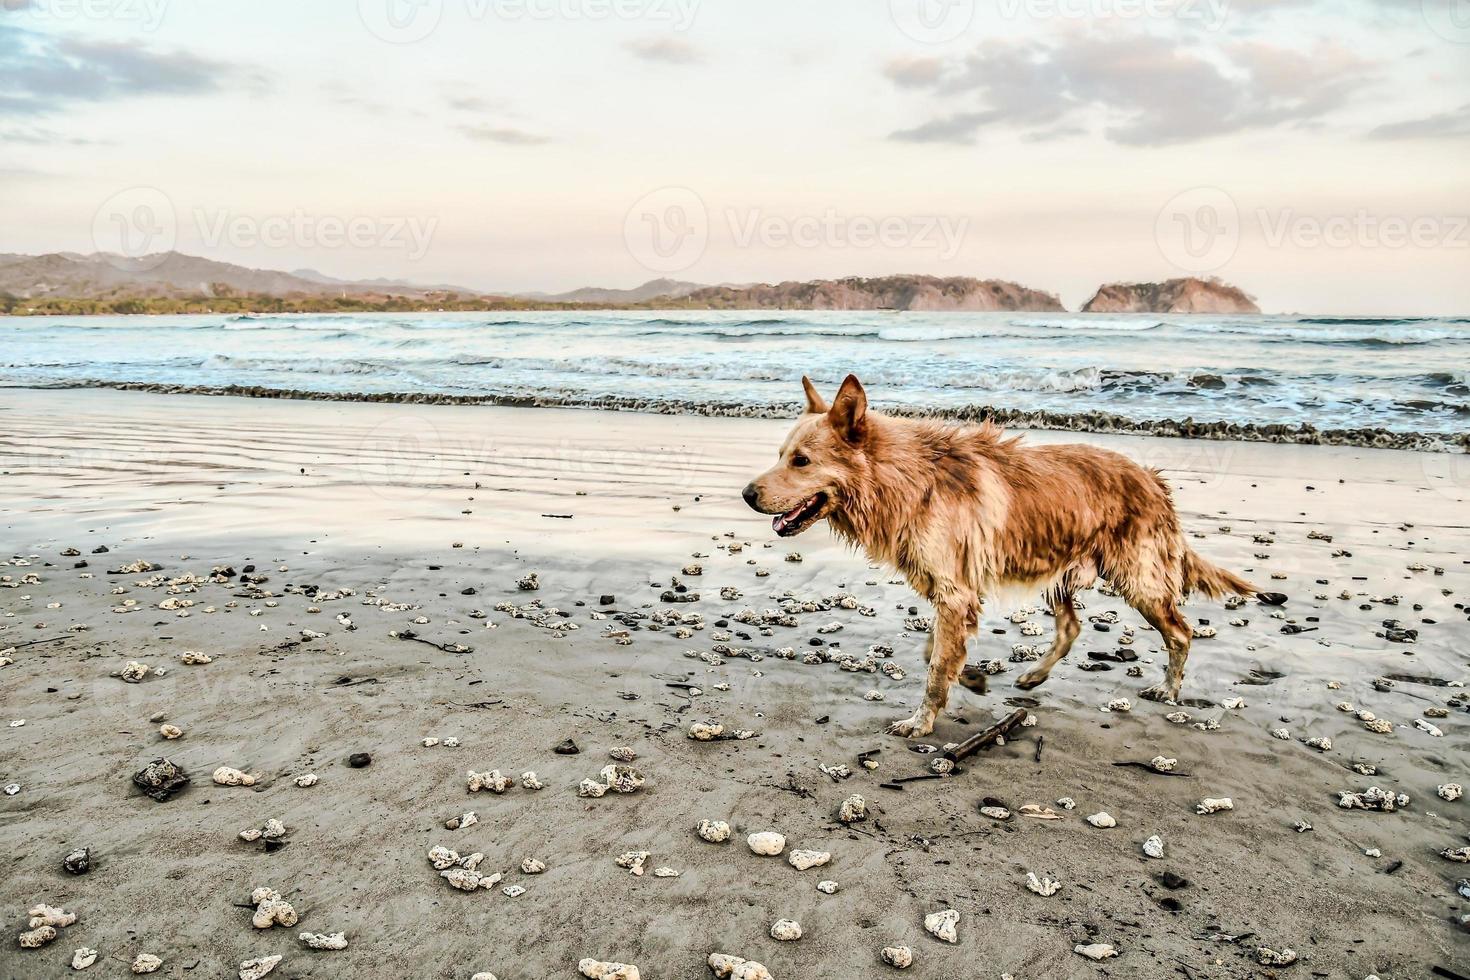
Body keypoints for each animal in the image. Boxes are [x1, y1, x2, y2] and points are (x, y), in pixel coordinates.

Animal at [740, 373, 1258, 734]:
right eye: (781, 454)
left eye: (801, 461)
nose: (746, 494)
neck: (905, 479)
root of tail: (1153, 480)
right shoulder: (953, 592)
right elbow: (935, 650)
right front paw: (968, 676)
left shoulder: (955, 592)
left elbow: (935, 666)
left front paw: (921, 721)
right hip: (1058, 569)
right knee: (1072, 627)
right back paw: (1033, 677)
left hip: (1138, 579)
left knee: (1181, 632)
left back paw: (1168, 688)